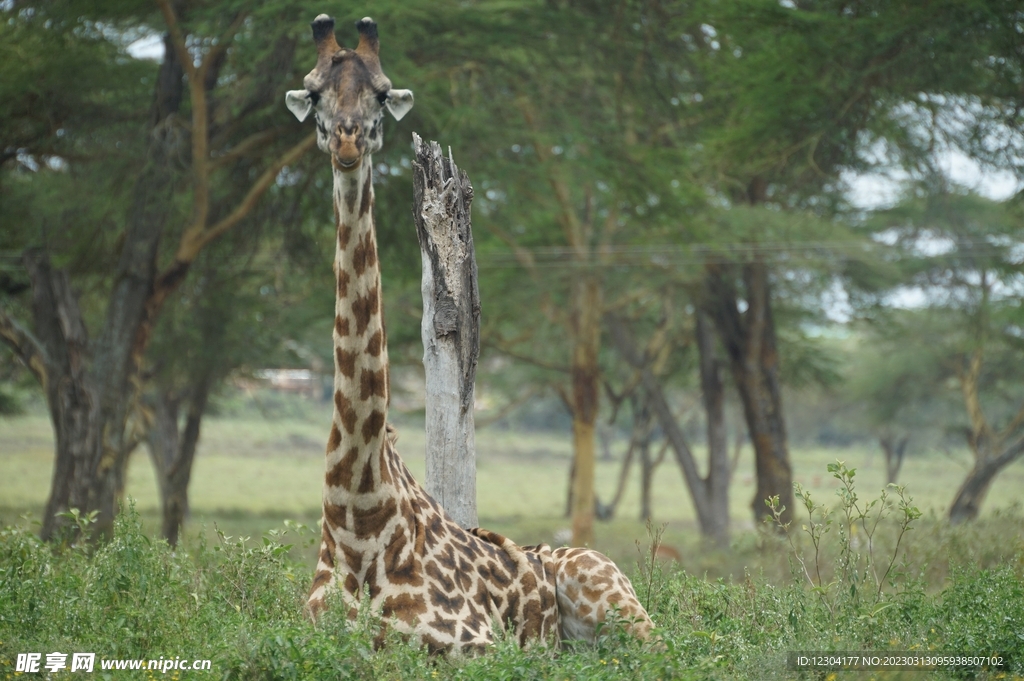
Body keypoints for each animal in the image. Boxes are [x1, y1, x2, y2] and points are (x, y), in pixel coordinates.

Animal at [286, 11, 655, 655]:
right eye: (313, 93)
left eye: (381, 92)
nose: (348, 142)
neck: (358, 513)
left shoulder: (476, 646)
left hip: (614, 597)